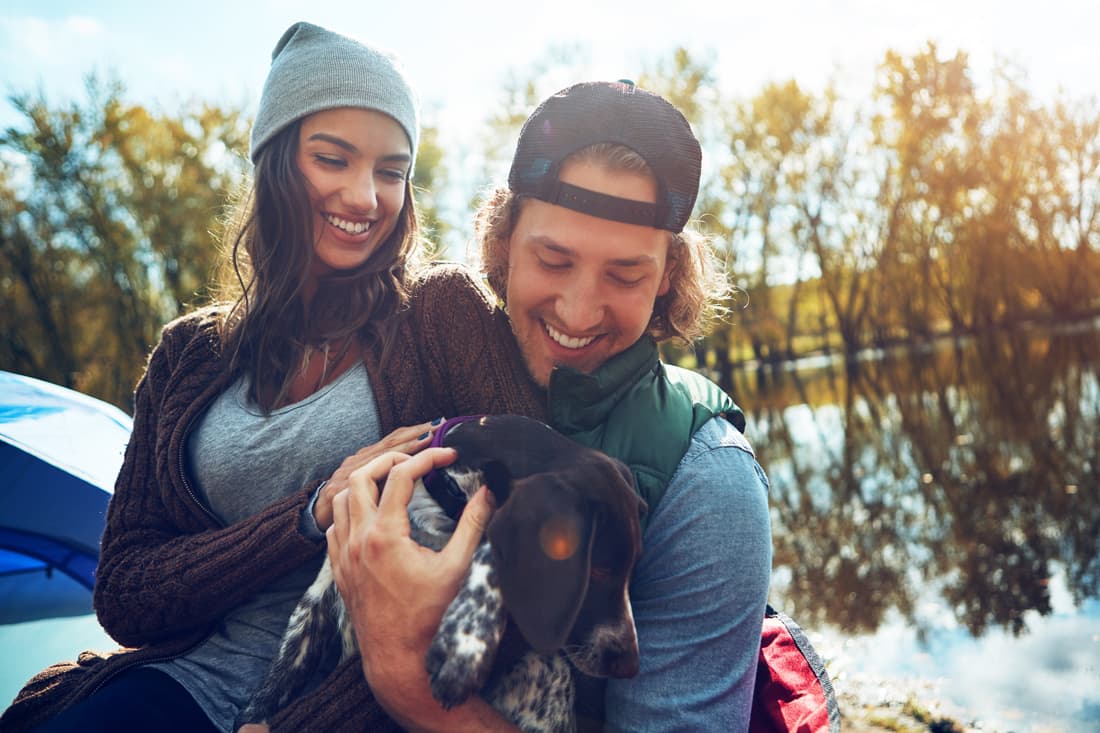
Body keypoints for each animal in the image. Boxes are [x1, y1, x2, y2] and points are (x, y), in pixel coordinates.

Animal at [233, 413, 642, 730]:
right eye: (599, 571)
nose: (631, 665)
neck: (437, 502)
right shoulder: (319, 594)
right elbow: (283, 669)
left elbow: (491, 544)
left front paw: (465, 644)